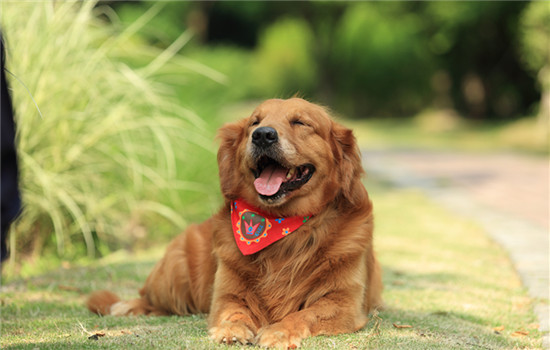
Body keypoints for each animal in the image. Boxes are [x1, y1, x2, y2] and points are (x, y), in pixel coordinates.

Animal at [89, 98, 384, 348]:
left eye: (300, 122)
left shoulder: (342, 302)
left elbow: (303, 315)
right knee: (150, 298)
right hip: (173, 274)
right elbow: (233, 311)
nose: (263, 135)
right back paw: (126, 306)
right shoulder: (226, 294)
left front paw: (279, 331)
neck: (285, 229)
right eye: (255, 121)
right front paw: (231, 329)